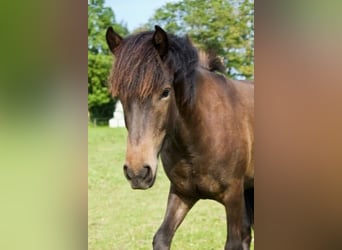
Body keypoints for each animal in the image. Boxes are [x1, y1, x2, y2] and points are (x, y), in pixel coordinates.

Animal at [105, 25, 252, 250]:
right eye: (119, 96)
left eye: (165, 92)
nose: (137, 172)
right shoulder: (182, 193)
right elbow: (162, 237)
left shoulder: (234, 195)